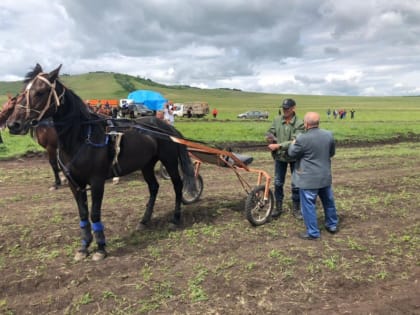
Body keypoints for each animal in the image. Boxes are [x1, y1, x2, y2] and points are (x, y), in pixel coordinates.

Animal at [6, 64, 197, 262]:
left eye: (40, 92)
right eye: (22, 92)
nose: (13, 124)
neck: (81, 138)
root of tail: (166, 127)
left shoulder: (97, 181)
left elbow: (94, 213)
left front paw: (100, 247)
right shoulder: (75, 183)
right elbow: (83, 214)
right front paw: (84, 246)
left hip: (169, 161)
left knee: (177, 185)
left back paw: (175, 218)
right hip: (146, 164)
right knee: (153, 187)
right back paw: (144, 220)